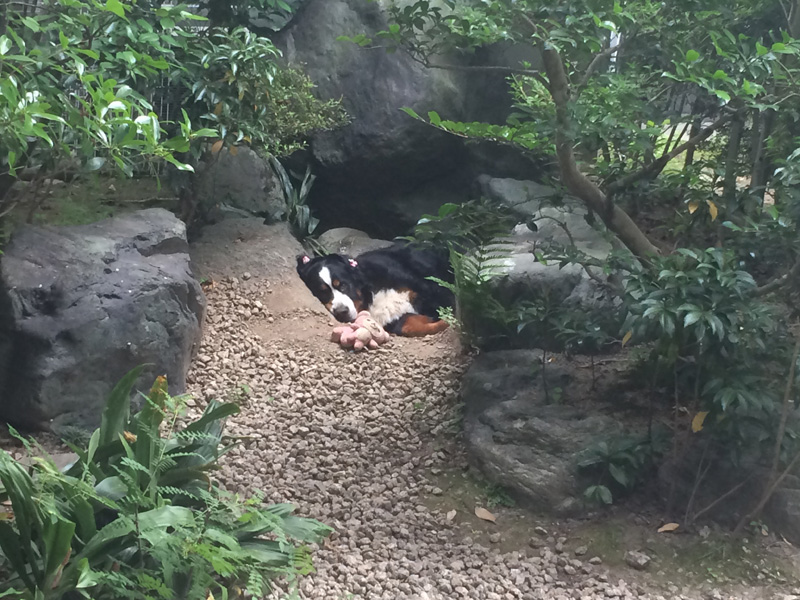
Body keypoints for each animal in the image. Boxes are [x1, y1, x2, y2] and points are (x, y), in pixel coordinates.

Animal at [296, 243, 454, 337]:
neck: (372, 293)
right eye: (321, 292)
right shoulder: (393, 320)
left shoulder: (430, 289)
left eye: (343, 285)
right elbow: (408, 325)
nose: (341, 312)